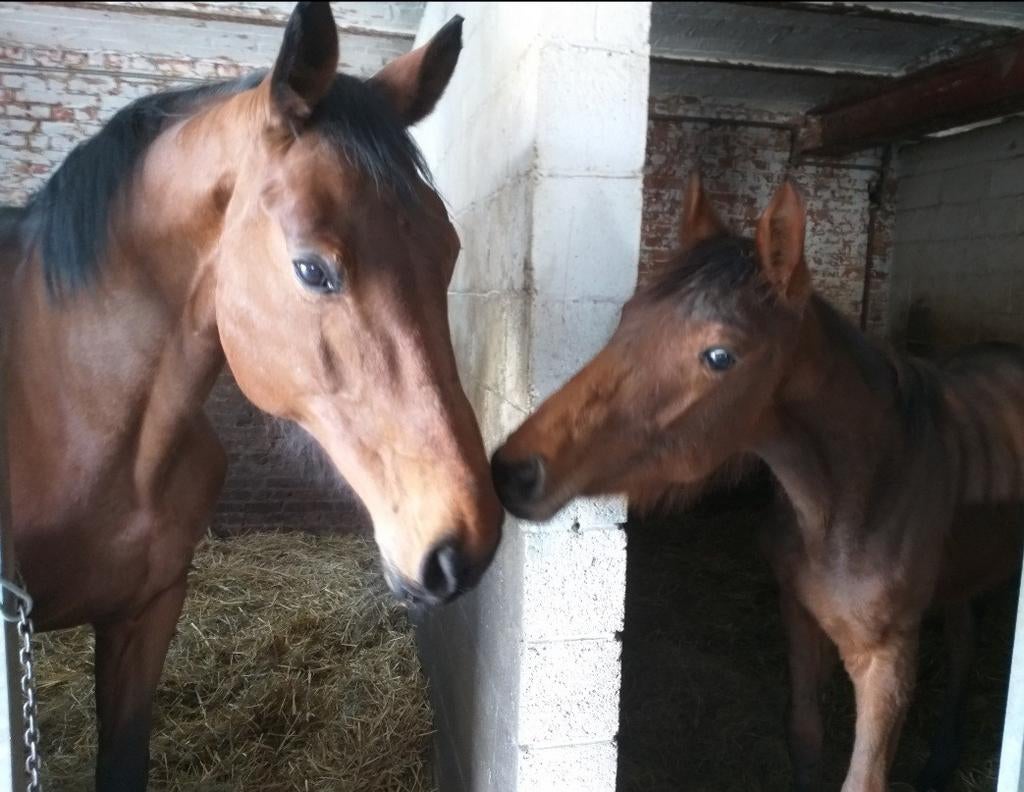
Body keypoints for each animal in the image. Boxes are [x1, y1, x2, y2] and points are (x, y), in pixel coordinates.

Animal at [491, 173, 1024, 792]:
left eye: (721, 355)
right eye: (628, 317)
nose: (512, 471)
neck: (862, 495)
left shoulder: (887, 661)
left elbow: (862, 778)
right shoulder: (797, 612)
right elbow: (805, 735)